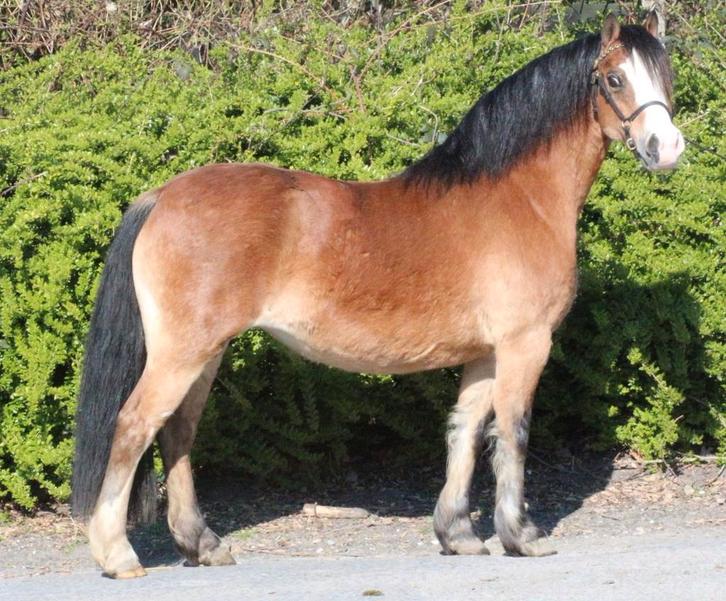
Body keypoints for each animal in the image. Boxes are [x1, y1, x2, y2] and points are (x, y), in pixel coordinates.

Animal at [71, 13, 684, 578]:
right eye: (613, 79)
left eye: (665, 73)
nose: (667, 147)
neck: (518, 197)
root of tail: (162, 196)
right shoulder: (524, 345)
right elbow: (512, 433)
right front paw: (522, 535)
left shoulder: (484, 354)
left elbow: (464, 431)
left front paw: (458, 534)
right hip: (183, 353)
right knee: (134, 426)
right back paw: (118, 554)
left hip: (205, 353)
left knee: (177, 433)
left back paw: (202, 544)